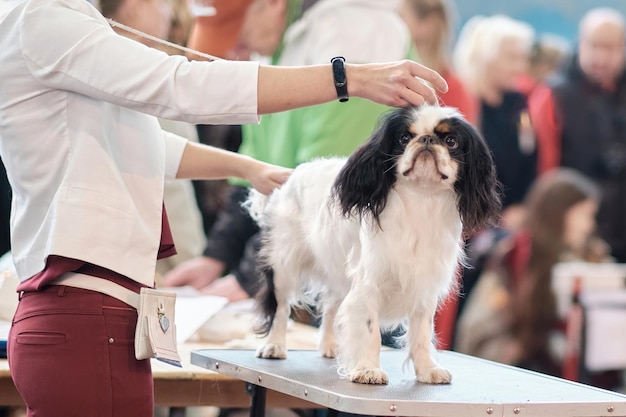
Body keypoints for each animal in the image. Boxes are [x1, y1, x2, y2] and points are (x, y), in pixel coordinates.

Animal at [246, 104, 500, 384]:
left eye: (451, 141)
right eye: (404, 138)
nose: (426, 140)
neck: (421, 198)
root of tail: (293, 174)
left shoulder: (423, 285)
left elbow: (421, 333)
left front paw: (427, 370)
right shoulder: (369, 283)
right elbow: (370, 331)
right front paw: (368, 370)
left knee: (332, 307)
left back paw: (330, 346)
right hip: (285, 266)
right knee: (280, 308)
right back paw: (274, 346)